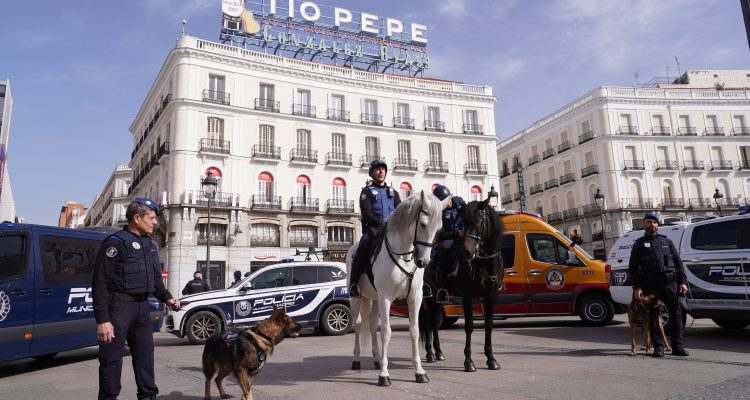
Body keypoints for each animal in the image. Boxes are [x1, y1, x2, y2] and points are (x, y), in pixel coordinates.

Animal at [348, 192, 450, 386]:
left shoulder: (415, 298)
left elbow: (415, 331)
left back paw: (376, 359)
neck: (403, 256)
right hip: (357, 298)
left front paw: (419, 372)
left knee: (372, 324)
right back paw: (356, 360)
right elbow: (386, 333)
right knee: (358, 323)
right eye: (423, 224)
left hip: (374, 299)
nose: (423, 261)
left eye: (439, 228)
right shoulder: (386, 297)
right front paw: (384, 375)